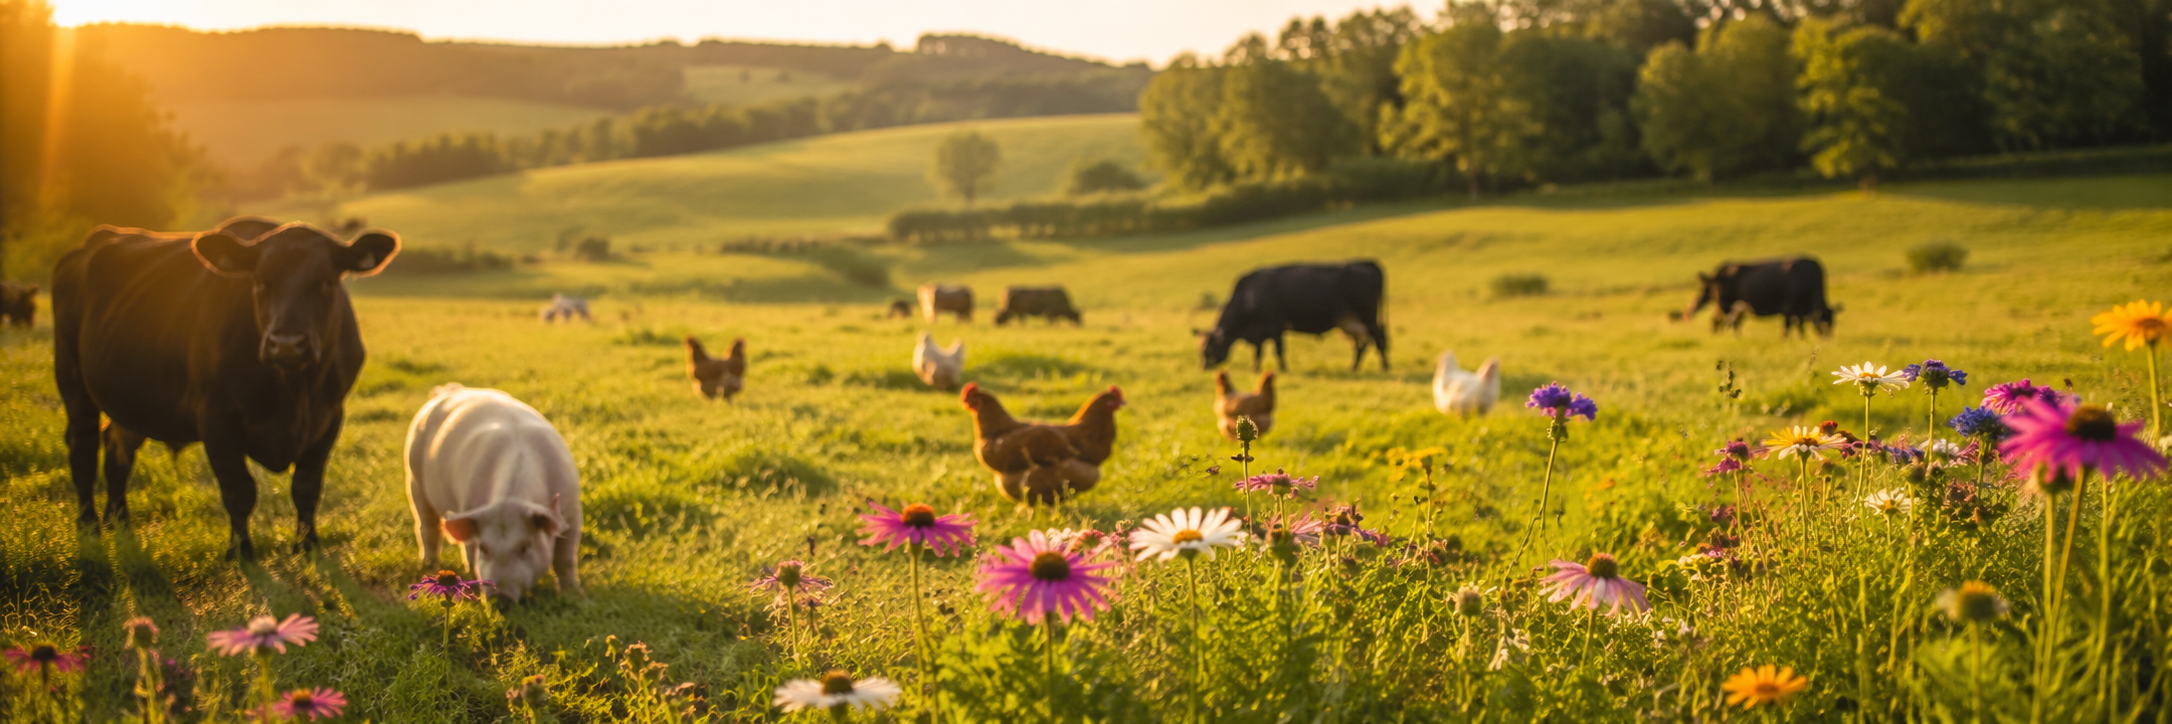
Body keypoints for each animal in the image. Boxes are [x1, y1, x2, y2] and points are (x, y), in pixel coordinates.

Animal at [51, 217, 399, 561]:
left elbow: (307, 486)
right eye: (259, 282)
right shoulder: (215, 419)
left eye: (327, 281)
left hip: (132, 401)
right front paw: (241, 551)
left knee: (117, 449)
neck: (293, 391)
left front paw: (308, 545)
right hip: (71, 377)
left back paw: (119, 520)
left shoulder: (330, 417)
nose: (287, 344)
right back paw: (89, 524)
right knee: (83, 447)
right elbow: (239, 490)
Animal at [404, 384, 583, 603]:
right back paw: (428, 566)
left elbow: (565, 559)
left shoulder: (572, 511)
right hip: (414, 477)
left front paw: (574, 593)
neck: (511, 499)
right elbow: (472, 554)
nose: (500, 599)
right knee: (426, 527)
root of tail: (448, 391)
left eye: (524, 547)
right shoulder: (469, 506)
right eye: (484, 548)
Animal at [1200, 261, 1388, 372]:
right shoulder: (1260, 332)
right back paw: (1353, 367)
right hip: (1350, 322)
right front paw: (1254, 368)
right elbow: (1258, 352)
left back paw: (1384, 367)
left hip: (1368, 317)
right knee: (1360, 344)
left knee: (1379, 339)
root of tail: (1369, 263)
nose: (1203, 367)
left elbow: (1278, 350)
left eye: (1208, 349)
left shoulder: (1275, 325)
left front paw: (1283, 369)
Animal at [1678, 258, 1838, 338]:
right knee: (1726, 322)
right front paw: (1786, 339)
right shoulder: (1789, 307)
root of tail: (1716, 274)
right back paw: (1733, 337)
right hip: (1726, 304)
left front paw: (1802, 338)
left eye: (1833, 324)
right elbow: (1788, 326)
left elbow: (1799, 325)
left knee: (1724, 321)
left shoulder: (1799, 311)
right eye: (1824, 324)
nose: (1828, 340)